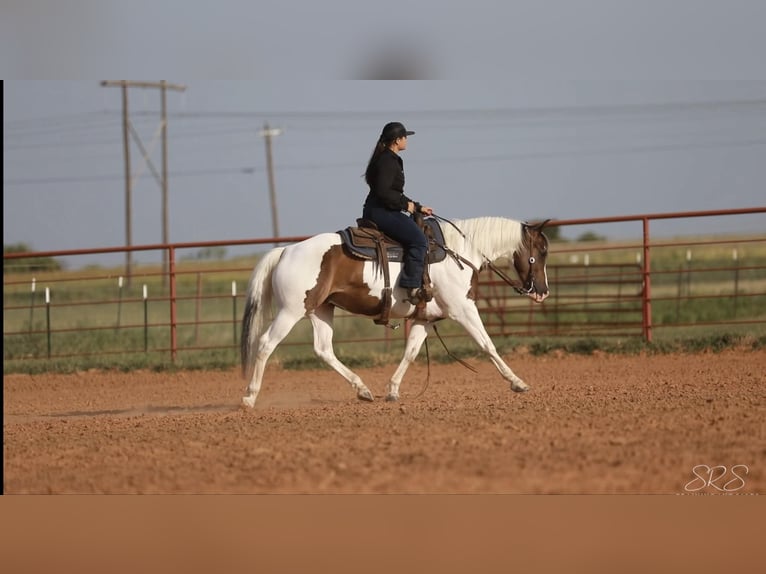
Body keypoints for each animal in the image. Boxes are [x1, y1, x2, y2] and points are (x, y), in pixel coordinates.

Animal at [240, 216, 550, 408]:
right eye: (543, 251)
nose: (543, 291)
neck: (459, 253)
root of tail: (285, 250)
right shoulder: (463, 309)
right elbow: (487, 344)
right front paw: (517, 382)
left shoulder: (426, 319)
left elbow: (410, 353)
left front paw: (392, 390)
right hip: (291, 311)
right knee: (265, 344)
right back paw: (249, 397)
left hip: (320, 310)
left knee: (323, 349)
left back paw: (363, 390)